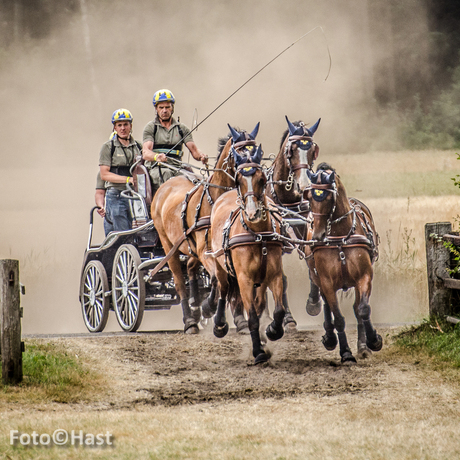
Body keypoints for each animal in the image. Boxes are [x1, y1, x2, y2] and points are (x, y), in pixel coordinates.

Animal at [151, 122, 262, 334]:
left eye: (256, 150)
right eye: (238, 151)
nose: (253, 173)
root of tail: (164, 187)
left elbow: (229, 282)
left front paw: (238, 320)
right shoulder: (206, 251)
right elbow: (218, 280)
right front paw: (209, 308)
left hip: (191, 246)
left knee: (191, 267)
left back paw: (195, 305)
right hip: (170, 247)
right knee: (180, 282)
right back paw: (190, 320)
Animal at [207, 142, 286, 364]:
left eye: (262, 179)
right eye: (239, 180)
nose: (252, 213)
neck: (258, 235)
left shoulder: (274, 275)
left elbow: (278, 310)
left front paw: (272, 331)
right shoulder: (244, 279)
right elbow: (251, 317)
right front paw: (258, 352)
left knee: (260, 303)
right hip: (221, 267)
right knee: (223, 289)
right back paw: (219, 324)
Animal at [304, 165, 382, 362]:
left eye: (328, 197)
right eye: (309, 197)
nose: (318, 236)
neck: (340, 237)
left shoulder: (364, 276)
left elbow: (362, 310)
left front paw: (372, 341)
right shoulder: (327, 283)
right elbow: (338, 317)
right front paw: (345, 352)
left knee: (357, 308)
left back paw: (363, 345)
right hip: (316, 278)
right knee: (326, 305)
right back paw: (330, 338)